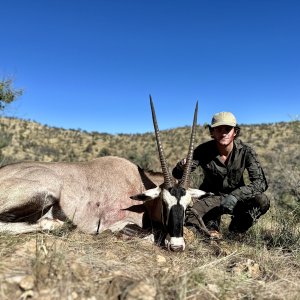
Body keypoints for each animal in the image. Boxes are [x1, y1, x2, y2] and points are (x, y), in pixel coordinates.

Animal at [0, 96, 206, 251]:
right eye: (164, 203)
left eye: (187, 206)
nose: (176, 246)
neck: (137, 187)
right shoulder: (118, 223)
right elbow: (151, 235)